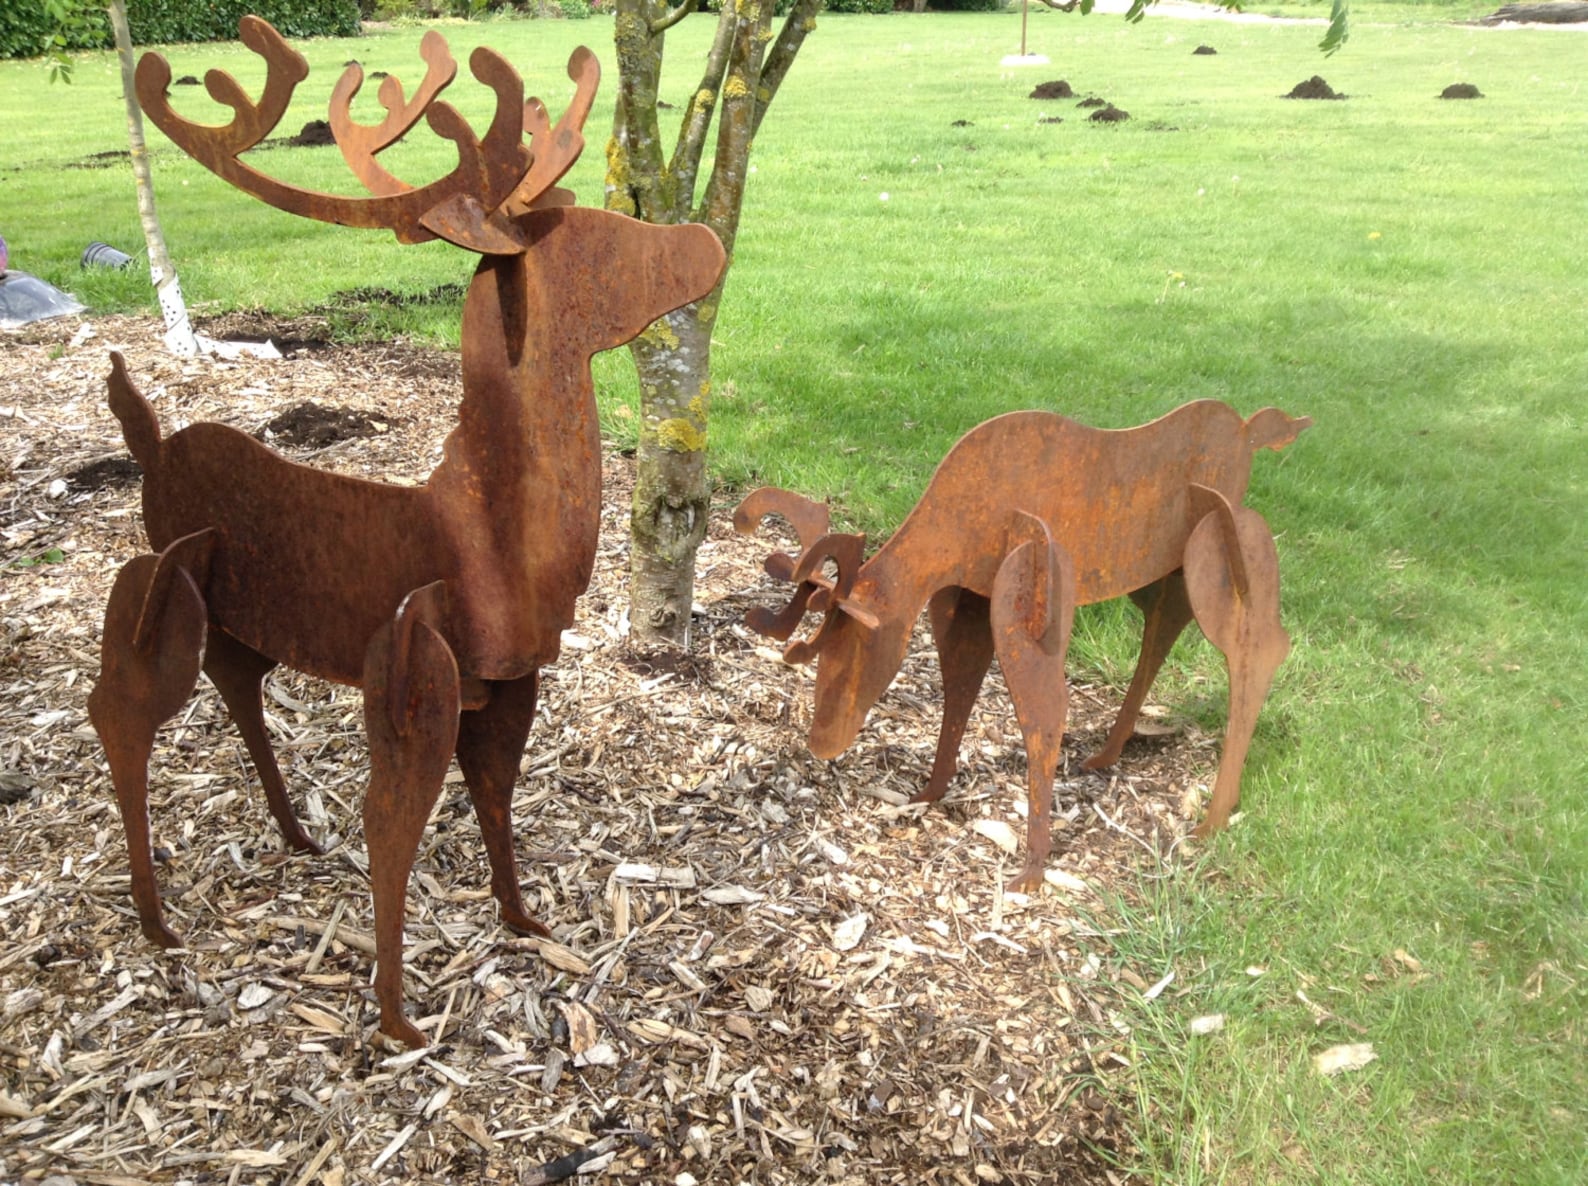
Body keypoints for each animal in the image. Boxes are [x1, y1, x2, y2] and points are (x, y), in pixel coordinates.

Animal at [86, 17, 726, 1048]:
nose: (706, 243)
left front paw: (523, 920)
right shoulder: (414, 664)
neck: (500, 541)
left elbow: (496, 799)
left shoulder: (508, 678)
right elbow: (394, 831)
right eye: (598, 237)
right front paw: (397, 1023)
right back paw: (157, 924)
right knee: (117, 709)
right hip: (159, 586)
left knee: (237, 688)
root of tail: (149, 446)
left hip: (242, 623)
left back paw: (294, 838)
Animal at [735, 402, 1310, 890]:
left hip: (1215, 547)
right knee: (1162, 635)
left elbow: (1043, 718)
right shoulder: (970, 599)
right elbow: (959, 688)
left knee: (1261, 649)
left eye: (856, 645)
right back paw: (1108, 756)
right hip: (1163, 577)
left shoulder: (1022, 598)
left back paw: (1213, 817)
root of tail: (1248, 432)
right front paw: (929, 792)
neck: (951, 533)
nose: (821, 741)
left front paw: (1031, 872)